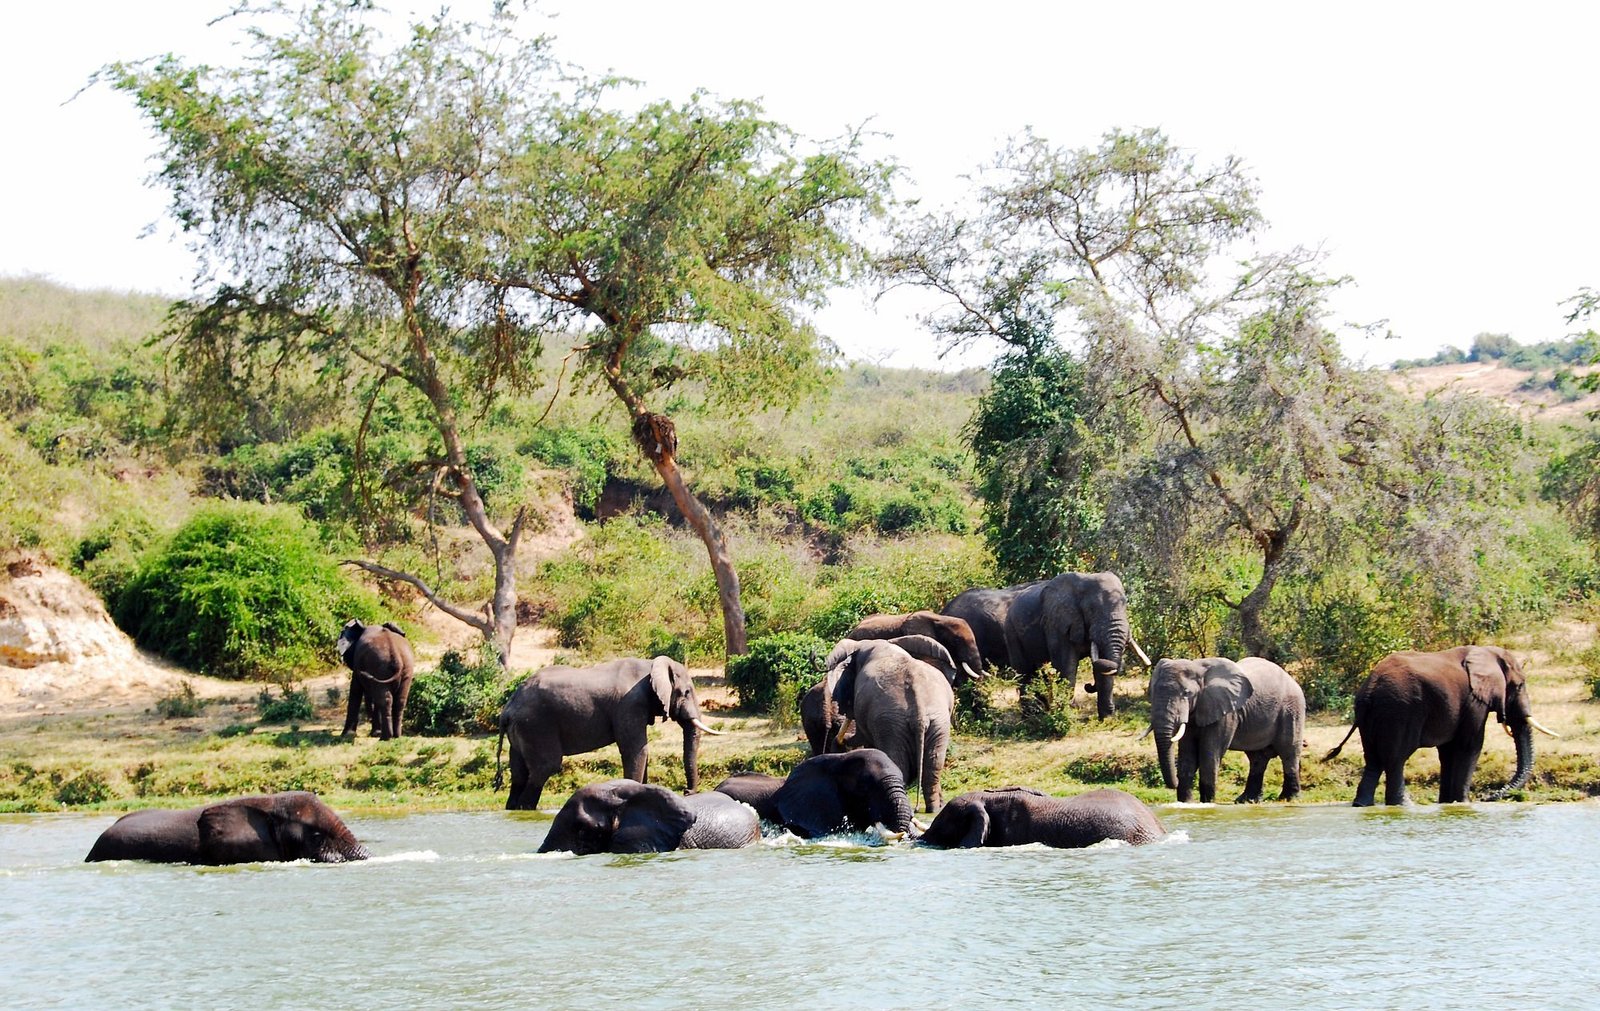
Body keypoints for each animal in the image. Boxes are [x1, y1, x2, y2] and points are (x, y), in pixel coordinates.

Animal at [494, 656, 723, 811]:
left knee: (519, 773)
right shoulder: (629, 705)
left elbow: (642, 752)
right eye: (686, 692)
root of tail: (508, 708)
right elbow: (636, 750)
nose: (686, 792)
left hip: (521, 730)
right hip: (536, 726)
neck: (651, 665)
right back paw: (526, 809)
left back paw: (514, 810)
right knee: (545, 767)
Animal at [819, 635, 955, 812]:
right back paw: (933, 809)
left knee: (899, 764)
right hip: (935, 722)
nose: (836, 744)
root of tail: (919, 712)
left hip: (891, 722)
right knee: (934, 762)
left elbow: (863, 737)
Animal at [1002, 572, 1150, 720]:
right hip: (1011, 632)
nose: (1088, 685)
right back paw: (1031, 718)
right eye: (1091, 610)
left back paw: (1042, 714)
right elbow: (1066, 665)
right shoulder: (1056, 623)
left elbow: (1103, 667)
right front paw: (1066, 717)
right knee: (1025, 672)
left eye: (1125, 606)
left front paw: (1107, 719)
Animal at [1145, 656, 1305, 803]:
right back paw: (1247, 800)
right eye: (1151, 693)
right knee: (1257, 758)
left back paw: (1288, 799)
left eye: (1186, 693)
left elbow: (1209, 755)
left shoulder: (1226, 711)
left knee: (1288, 752)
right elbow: (1187, 756)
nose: (1174, 784)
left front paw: (1207, 803)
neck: (1197, 667)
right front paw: (1186, 803)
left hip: (1291, 709)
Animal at [1325, 645, 1559, 806]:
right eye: (1519, 685)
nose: (1487, 797)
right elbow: (1470, 746)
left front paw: (1447, 803)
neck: (1486, 651)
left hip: (1372, 715)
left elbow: (1447, 752)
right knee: (1396, 759)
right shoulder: (1474, 701)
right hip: (1399, 711)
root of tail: (1370, 689)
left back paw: (1362, 805)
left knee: (1373, 760)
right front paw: (1463, 803)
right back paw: (1404, 805)